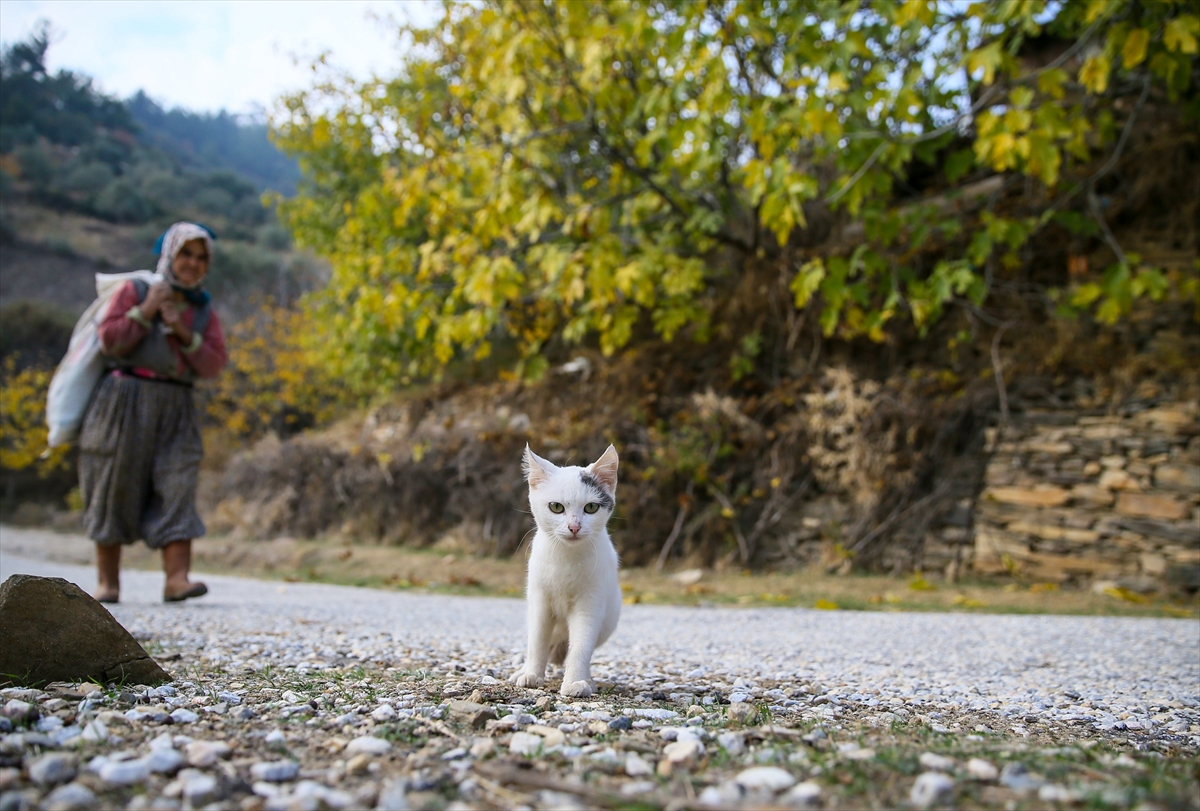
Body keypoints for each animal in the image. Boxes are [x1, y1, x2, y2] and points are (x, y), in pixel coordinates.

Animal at [511, 443, 624, 695]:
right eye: (556, 507)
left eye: (591, 507)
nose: (574, 527)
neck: (567, 559)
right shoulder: (539, 601)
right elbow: (537, 642)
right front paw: (532, 674)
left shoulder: (590, 603)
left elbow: (581, 646)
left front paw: (575, 682)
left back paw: (588, 680)